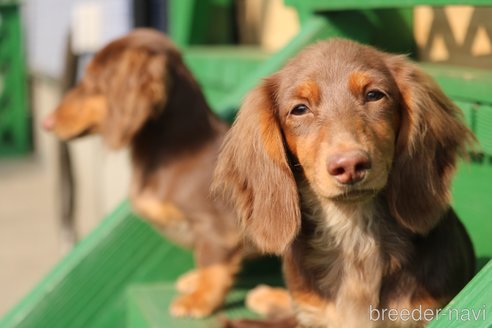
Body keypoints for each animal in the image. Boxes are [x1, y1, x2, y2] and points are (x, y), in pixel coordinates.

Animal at [44, 28, 246, 318]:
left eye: (92, 78)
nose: (46, 123)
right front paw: (195, 282)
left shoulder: (216, 226)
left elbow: (211, 262)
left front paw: (200, 299)